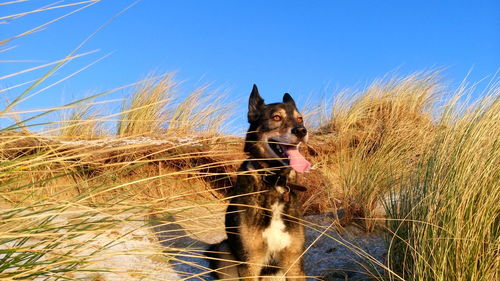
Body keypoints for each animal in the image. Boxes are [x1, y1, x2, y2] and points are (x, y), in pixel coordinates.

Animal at [206, 84, 308, 278]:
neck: (274, 180)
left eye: (300, 119)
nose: (301, 131)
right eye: (276, 117)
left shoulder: (293, 262)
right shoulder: (250, 261)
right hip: (223, 249)